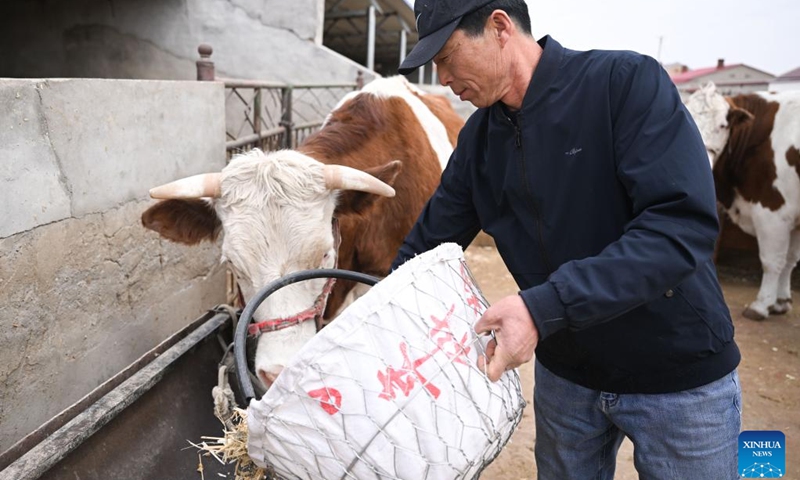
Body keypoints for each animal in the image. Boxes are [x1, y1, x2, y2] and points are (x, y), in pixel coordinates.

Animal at [684, 82, 800, 320]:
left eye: (722, 125)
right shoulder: (791, 216)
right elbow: (790, 260)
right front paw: (781, 302)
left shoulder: (772, 211)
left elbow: (773, 261)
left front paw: (761, 305)